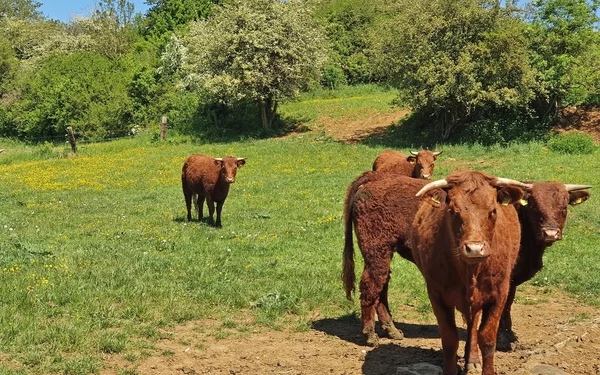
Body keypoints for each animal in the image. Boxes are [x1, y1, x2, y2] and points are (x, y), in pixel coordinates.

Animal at [342, 170, 432, 346]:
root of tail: (374, 177)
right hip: (377, 252)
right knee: (371, 286)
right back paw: (371, 335)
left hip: (382, 255)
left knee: (381, 287)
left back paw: (392, 331)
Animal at [410, 173, 528, 375]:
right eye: (452, 211)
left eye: (493, 211)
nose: (474, 249)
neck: (469, 271)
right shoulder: (436, 294)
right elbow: (450, 339)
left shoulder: (499, 294)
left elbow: (487, 338)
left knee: (473, 326)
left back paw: (472, 359)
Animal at [494, 181, 592, 350]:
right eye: (534, 206)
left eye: (564, 206)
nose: (550, 233)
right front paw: (501, 340)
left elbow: (508, 305)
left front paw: (510, 335)